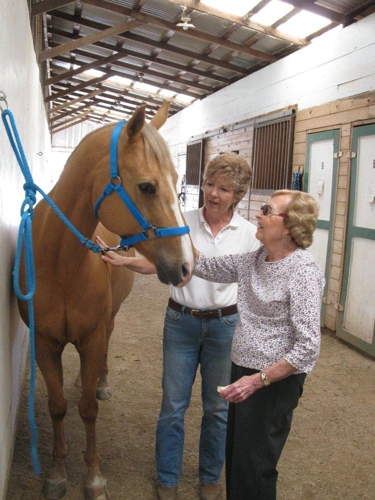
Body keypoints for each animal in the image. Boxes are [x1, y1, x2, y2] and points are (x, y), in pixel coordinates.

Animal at [17, 102, 195, 500]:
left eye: (177, 181)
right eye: (146, 186)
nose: (187, 265)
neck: (60, 262)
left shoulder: (94, 336)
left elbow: (86, 410)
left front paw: (94, 478)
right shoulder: (44, 343)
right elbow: (57, 406)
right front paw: (56, 473)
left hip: (109, 321)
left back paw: (99, 381)